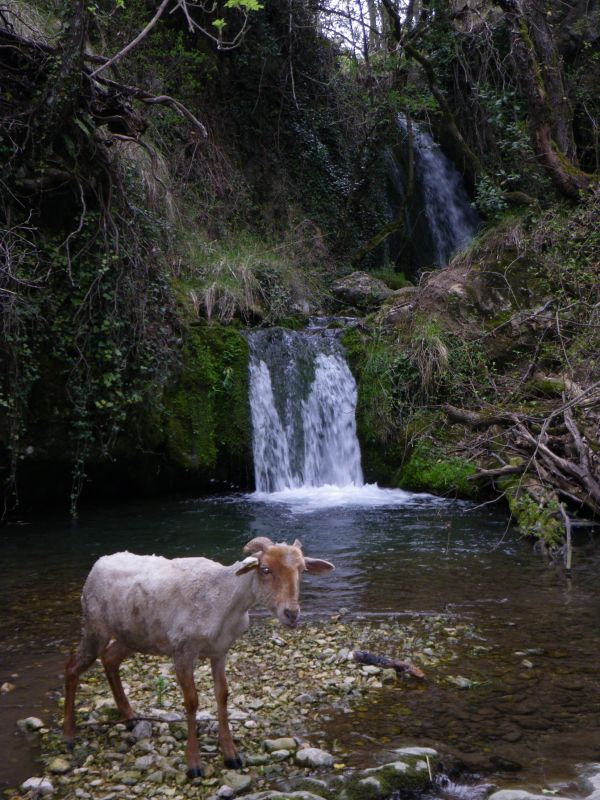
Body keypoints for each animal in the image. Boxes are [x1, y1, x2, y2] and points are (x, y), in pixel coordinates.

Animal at [63, 536, 336, 776]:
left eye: (302, 570)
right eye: (265, 569)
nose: (292, 614)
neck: (224, 598)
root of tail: (101, 561)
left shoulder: (220, 651)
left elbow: (222, 695)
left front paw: (231, 755)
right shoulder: (182, 651)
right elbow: (192, 702)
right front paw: (193, 763)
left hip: (132, 635)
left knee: (110, 659)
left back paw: (129, 717)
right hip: (94, 625)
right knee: (72, 668)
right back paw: (68, 735)